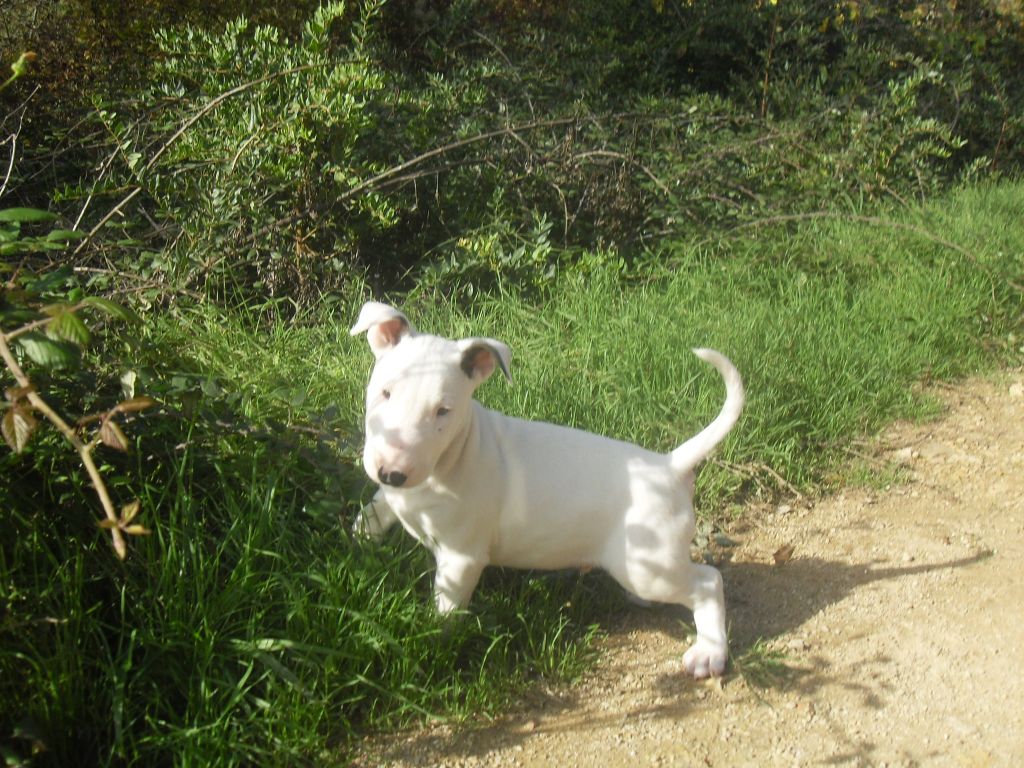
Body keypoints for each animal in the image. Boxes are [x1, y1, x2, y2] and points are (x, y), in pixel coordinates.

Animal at [352, 301, 745, 679]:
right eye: (386, 392)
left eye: (443, 411)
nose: (392, 473)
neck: (448, 460)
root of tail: (671, 465)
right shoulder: (388, 499)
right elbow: (371, 516)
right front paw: (358, 544)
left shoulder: (461, 557)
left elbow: (446, 609)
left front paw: (432, 641)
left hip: (646, 568)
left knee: (708, 582)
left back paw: (709, 653)